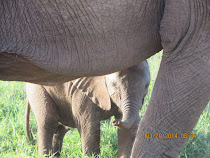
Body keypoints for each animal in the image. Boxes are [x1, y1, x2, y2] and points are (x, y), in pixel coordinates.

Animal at [0, 0, 209, 158]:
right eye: (114, 87)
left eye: (146, 87)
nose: (116, 121)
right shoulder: (85, 95)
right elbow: (90, 130)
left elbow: (130, 131)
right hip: (38, 90)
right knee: (48, 122)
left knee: (59, 129)